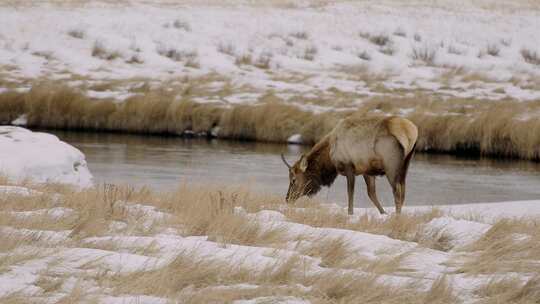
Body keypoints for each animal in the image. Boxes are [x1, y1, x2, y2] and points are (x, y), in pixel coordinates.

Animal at [280, 115, 420, 215]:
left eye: (293, 180)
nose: (287, 198)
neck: (329, 157)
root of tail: (411, 132)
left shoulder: (349, 167)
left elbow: (350, 193)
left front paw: (350, 213)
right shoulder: (366, 170)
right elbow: (371, 193)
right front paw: (383, 213)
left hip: (391, 165)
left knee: (397, 191)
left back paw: (397, 216)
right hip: (405, 164)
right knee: (403, 191)